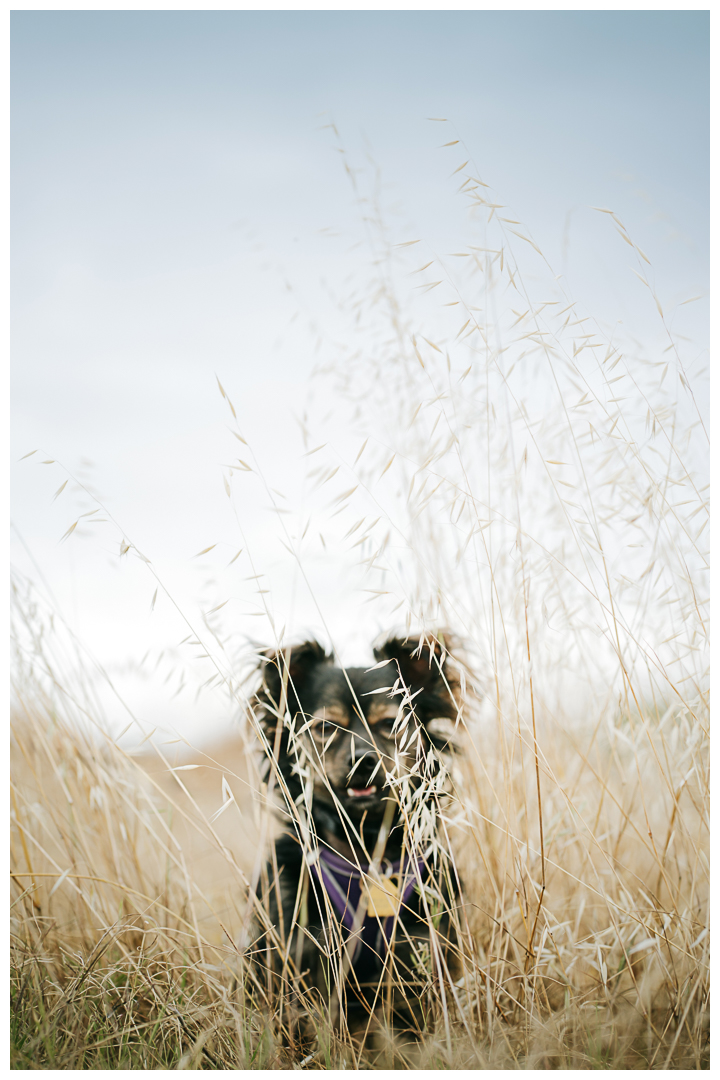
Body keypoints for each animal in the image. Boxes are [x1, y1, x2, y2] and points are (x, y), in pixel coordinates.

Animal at [250, 635, 464, 1041]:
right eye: (327, 728)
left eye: (390, 723)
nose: (362, 759)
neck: (365, 852)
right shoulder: (306, 949)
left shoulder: (418, 946)